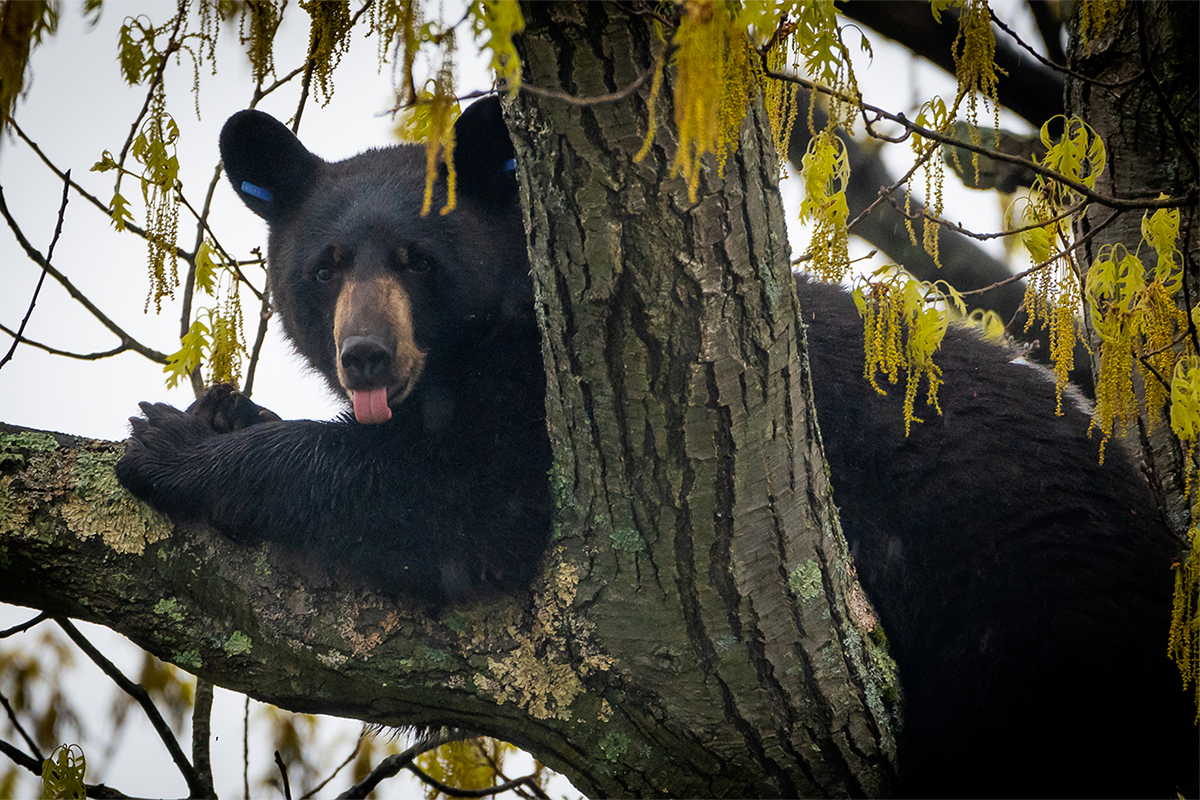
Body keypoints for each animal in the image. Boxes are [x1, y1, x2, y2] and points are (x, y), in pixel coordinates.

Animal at [114, 97, 1200, 796]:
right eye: (326, 264)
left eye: (418, 260)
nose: (365, 354)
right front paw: (223, 409)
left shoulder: (549, 407)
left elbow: (463, 506)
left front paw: (171, 447)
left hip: (1028, 620)